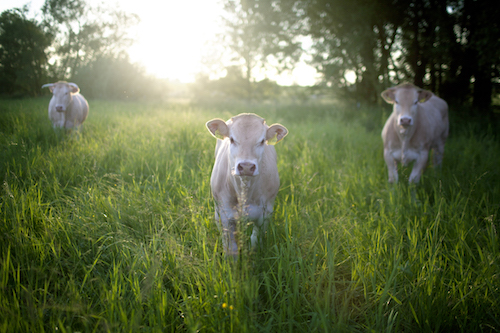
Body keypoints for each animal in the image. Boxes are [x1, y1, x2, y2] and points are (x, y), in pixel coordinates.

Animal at [205, 113, 288, 258]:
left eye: (262, 141)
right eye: (232, 139)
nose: (246, 166)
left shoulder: (265, 213)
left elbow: (255, 241)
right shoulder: (225, 214)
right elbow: (231, 248)